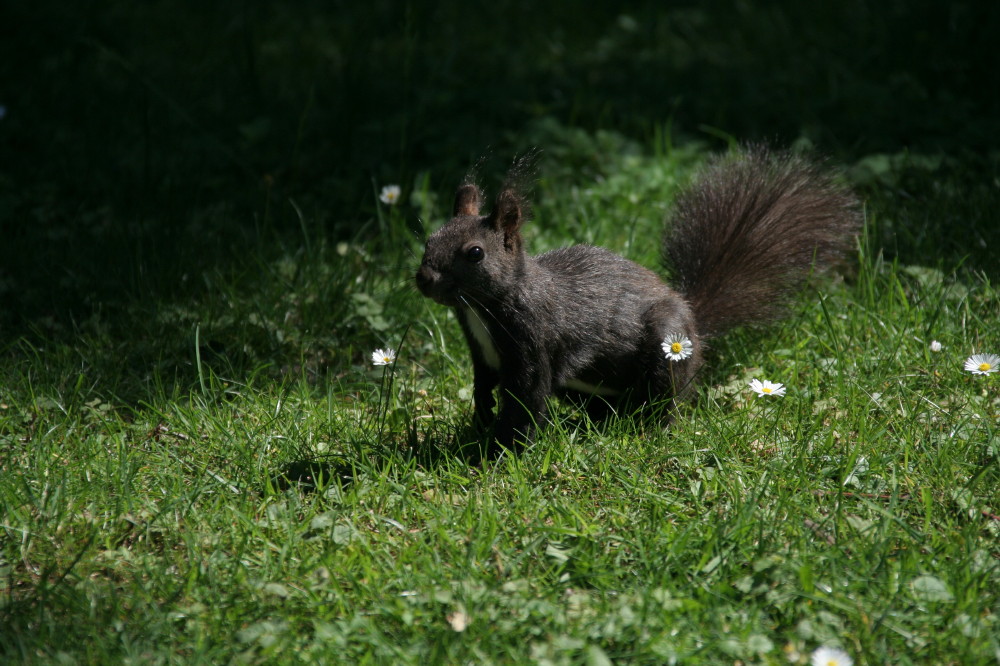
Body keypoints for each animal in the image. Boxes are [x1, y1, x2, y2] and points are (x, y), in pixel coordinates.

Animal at [414, 147, 860, 456]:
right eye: (429, 240)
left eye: (475, 253)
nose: (424, 279)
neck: (482, 310)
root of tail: (694, 322)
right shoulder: (482, 355)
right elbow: (482, 388)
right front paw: (479, 425)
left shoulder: (534, 345)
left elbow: (525, 403)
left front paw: (497, 455)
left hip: (666, 347)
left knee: (668, 399)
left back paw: (654, 429)